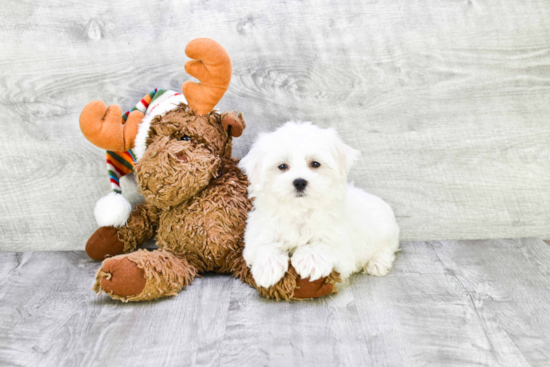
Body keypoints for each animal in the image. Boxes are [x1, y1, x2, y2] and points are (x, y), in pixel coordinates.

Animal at [240, 122, 402, 288]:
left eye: (315, 164)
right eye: (282, 166)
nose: (299, 182)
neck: (300, 210)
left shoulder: (342, 248)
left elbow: (322, 243)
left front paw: (310, 261)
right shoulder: (259, 231)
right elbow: (264, 245)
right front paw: (267, 267)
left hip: (386, 233)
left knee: (386, 249)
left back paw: (377, 263)